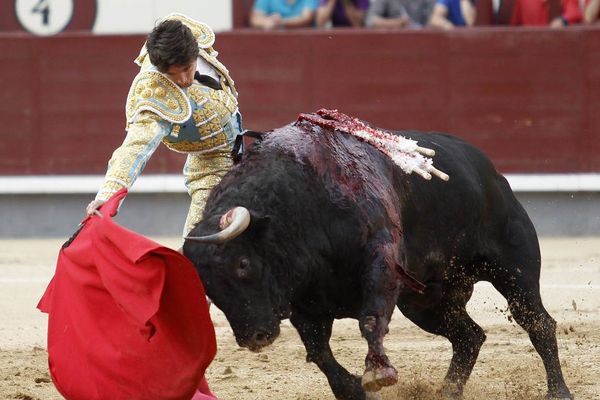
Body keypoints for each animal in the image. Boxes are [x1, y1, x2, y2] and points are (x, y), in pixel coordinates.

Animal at [183, 115, 572, 400]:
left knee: (537, 323)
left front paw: (378, 372)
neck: (299, 202)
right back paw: (446, 391)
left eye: (242, 264)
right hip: (424, 302)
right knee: (469, 337)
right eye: (207, 288)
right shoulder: (302, 300)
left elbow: (370, 320)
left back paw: (558, 392)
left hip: (513, 268)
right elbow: (318, 350)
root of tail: (491, 172)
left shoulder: (380, 262)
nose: (255, 338)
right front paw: (354, 389)